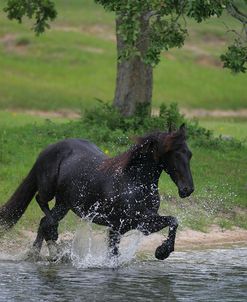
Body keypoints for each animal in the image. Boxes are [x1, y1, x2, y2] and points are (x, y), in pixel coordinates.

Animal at [0, 124, 193, 260]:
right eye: (176, 153)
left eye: (189, 154)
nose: (188, 189)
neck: (133, 183)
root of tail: (47, 149)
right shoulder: (125, 224)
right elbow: (173, 220)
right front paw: (162, 251)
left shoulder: (136, 224)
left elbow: (172, 221)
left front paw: (162, 251)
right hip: (49, 190)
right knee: (41, 203)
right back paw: (53, 239)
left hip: (64, 204)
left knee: (43, 223)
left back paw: (44, 253)